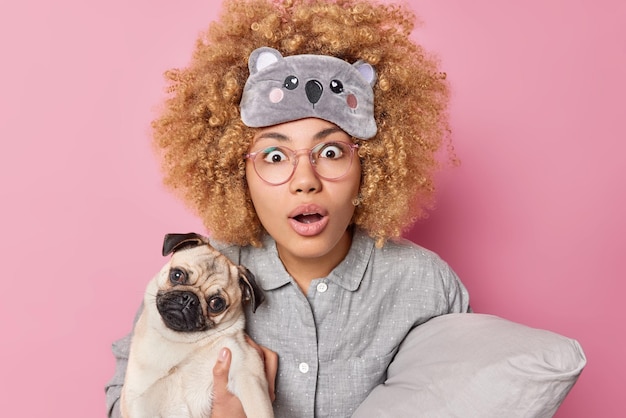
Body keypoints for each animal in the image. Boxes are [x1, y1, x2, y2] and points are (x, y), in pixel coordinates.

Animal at [120, 233, 272, 416]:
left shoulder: (247, 373)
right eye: (177, 275)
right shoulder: (139, 402)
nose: (189, 299)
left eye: (216, 303)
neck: (181, 342)